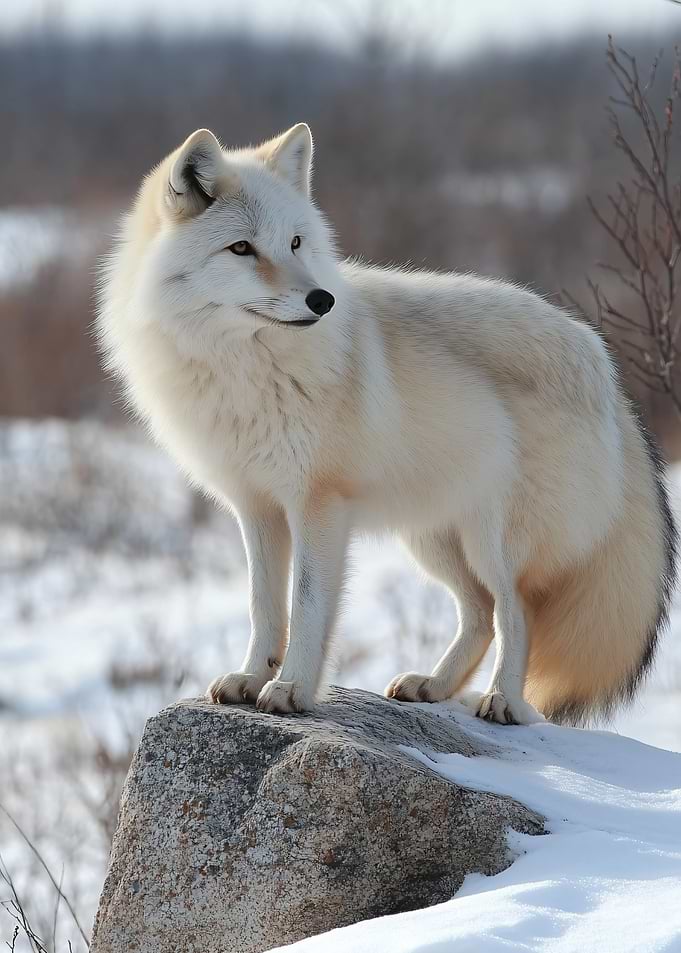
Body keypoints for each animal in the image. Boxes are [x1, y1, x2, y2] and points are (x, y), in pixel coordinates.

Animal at [97, 123, 677, 725]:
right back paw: (434, 686)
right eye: (242, 248)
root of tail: (603, 361)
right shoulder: (255, 508)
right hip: (432, 539)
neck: (244, 369)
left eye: (296, 243)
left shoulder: (318, 504)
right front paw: (250, 678)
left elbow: (306, 605)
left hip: (493, 543)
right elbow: (264, 607)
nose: (321, 300)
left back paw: (502, 701)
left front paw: (291, 689)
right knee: (480, 611)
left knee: (516, 612)